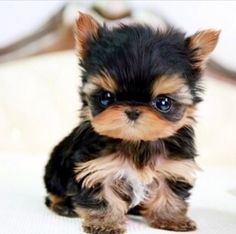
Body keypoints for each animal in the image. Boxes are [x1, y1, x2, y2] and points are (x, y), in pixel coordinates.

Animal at [44, 12, 219, 234]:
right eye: (106, 97)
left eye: (163, 102)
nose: (133, 110)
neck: (136, 142)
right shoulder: (96, 168)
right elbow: (103, 197)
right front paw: (105, 224)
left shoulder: (174, 167)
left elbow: (169, 193)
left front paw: (171, 218)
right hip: (55, 167)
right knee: (53, 191)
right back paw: (63, 206)